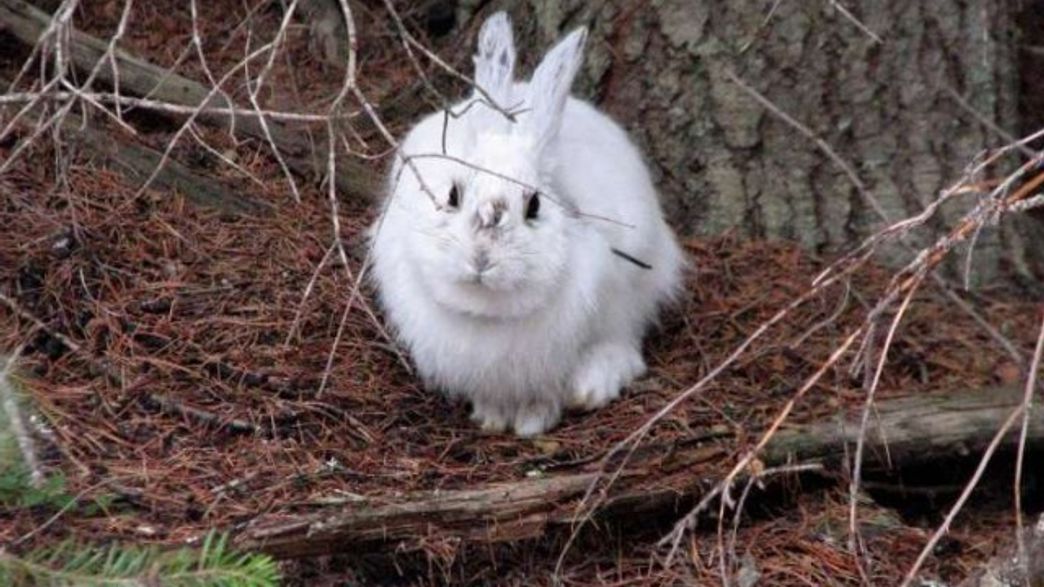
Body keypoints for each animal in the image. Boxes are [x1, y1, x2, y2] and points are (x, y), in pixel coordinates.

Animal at [369, 12, 684, 437]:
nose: (481, 259)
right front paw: (490, 417)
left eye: (534, 205)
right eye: (453, 195)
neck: (489, 314)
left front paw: (534, 421)